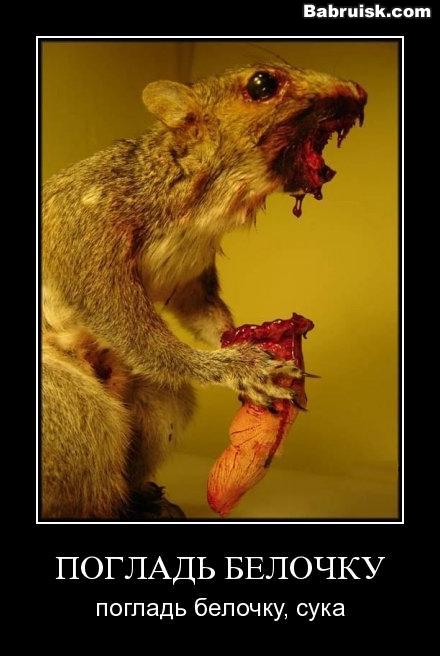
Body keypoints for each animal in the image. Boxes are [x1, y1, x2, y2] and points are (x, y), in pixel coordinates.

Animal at [42, 63, 367, 519]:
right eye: (262, 84)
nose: (358, 92)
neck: (205, 199)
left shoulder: (191, 273)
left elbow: (202, 311)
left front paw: (244, 347)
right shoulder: (89, 231)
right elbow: (124, 322)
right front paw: (239, 368)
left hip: (154, 402)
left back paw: (143, 499)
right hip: (71, 410)